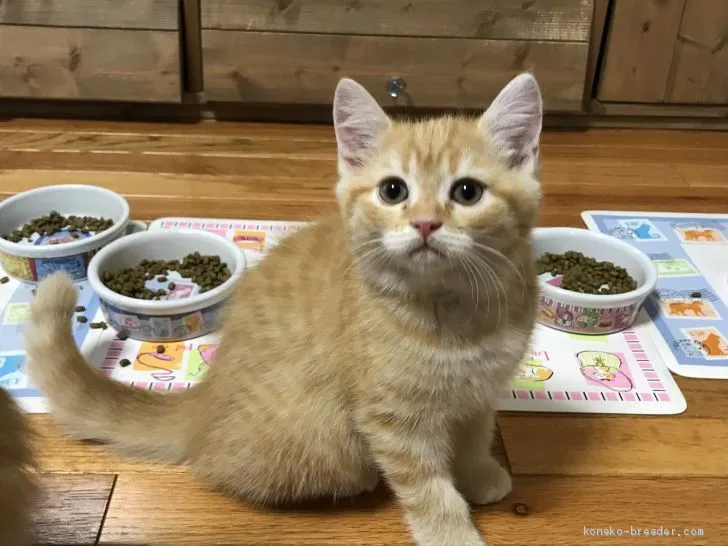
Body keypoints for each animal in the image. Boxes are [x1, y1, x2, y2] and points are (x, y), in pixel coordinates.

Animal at [25, 73, 544, 544]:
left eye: (467, 192)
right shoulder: (393, 422)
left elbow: (475, 438)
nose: (425, 224)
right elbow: (428, 490)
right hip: (324, 441)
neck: (454, 313)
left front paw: (480, 475)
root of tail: (202, 400)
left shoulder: (480, 394)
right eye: (393, 191)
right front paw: (452, 533)